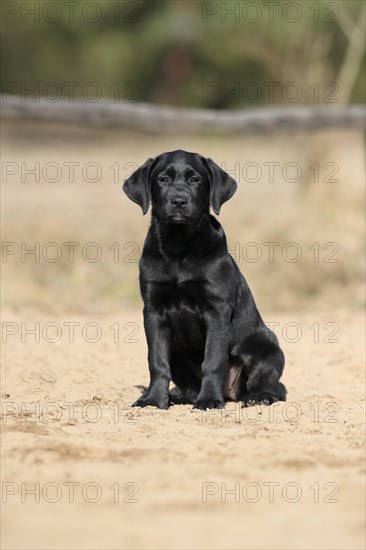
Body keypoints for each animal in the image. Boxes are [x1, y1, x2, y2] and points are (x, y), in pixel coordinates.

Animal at [123, 150, 286, 410]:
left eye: (195, 179)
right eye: (163, 179)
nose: (179, 201)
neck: (179, 247)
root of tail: (231, 393)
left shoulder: (216, 310)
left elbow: (213, 361)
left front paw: (209, 400)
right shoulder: (153, 311)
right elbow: (157, 362)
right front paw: (153, 399)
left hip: (268, 349)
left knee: (270, 384)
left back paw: (257, 396)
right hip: (177, 350)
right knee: (186, 382)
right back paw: (178, 397)